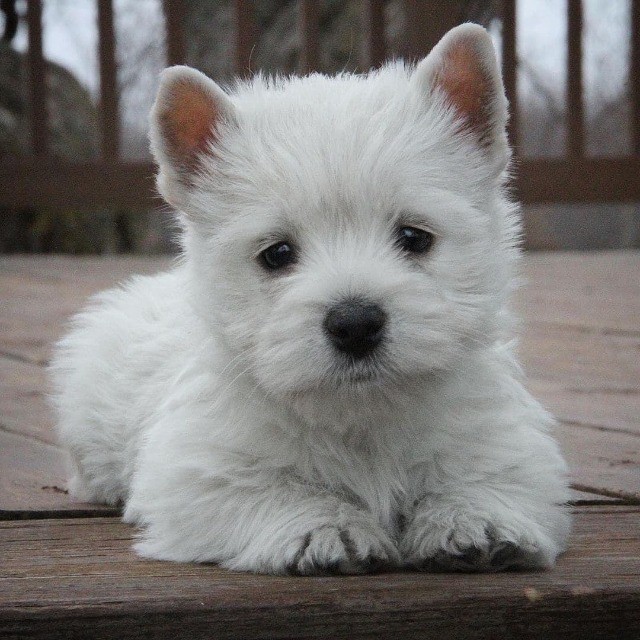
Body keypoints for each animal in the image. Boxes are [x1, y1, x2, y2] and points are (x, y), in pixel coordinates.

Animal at [50, 23, 568, 576]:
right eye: (277, 253)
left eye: (414, 236)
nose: (355, 323)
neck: (361, 419)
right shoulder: (198, 471)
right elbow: (276, 489)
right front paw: (324, 530)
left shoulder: (504, 440)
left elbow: (487, 474)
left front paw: (476, 522)